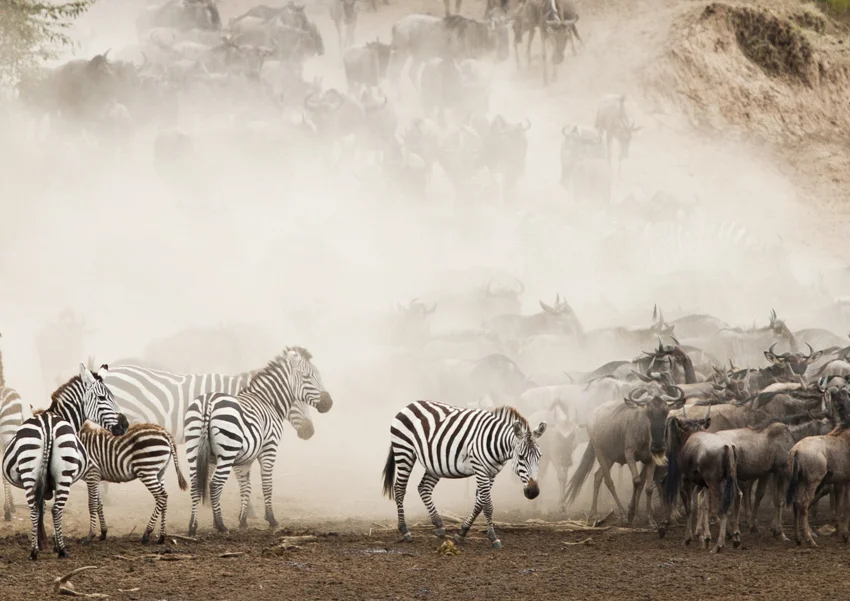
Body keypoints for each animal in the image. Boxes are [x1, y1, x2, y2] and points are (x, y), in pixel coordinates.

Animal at [1, 363, 128, 560]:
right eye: (102, 398)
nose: (125, 425)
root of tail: (47, 425)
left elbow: (41, 507)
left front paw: (41, 542)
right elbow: (48, 508)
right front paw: (50, 543)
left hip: (30, 471)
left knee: (34, 508)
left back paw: (33, 552)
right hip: (65, 475)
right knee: (56, 509)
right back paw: (61, 549)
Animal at [185, 347, 333, 536]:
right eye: (307, 376)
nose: (329, 403)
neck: (268, 401)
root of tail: (208, 403)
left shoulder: (244, 459)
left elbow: (245, 486)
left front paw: (243, 521)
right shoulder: (269, 448)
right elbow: (267, 484)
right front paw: (272, 520)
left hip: (193, 449)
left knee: (196, 484)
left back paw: (192, 526)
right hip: (226, 452)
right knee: (215, 484)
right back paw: (220, 525)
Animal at [381, 401, 546, 549]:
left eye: (540, 457)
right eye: (521, 457)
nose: (533, 492)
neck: (496, 444)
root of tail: (410, 404)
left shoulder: (492, 473)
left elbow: (480, 503)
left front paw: (462, 533)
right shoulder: (480, 469)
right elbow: (488, 505)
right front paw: (493, 538)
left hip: (434, 464)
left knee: (424, 488)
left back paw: (439, 525)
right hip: (404, 451)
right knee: (400, 488)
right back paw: (405, 530)